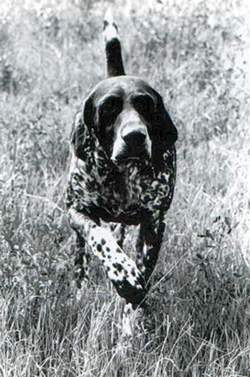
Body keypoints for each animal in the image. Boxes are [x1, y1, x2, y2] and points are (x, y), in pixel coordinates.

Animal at [65, 11, 177, 312]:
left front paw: (132, 310)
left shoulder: (154, 224)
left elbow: (143, 270)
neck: (122, 175)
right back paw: (80, 291)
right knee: (82, 257)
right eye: (108, 108)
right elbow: (99, 238)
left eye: (146, 105)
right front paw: (122, 274)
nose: (135, 136)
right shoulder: (76, 211)